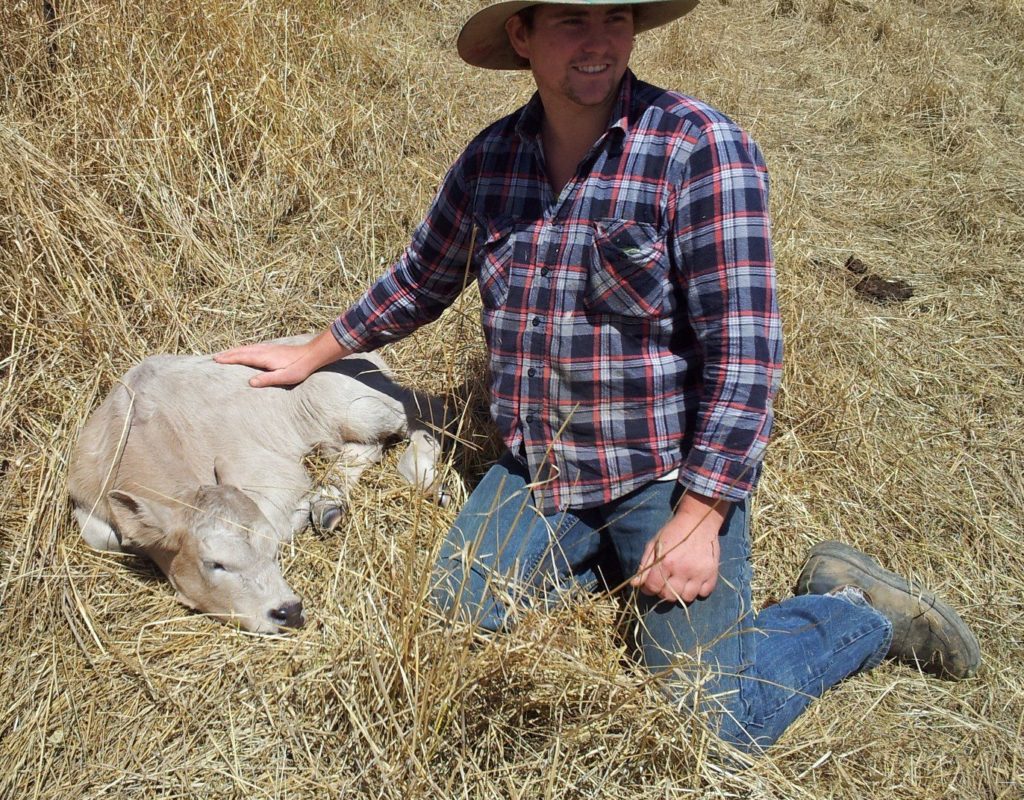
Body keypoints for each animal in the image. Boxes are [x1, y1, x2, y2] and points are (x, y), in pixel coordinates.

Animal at [68, 335, 450, 634]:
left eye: (272, 551)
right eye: (215, 564)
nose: (289, 611)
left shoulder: (272, 474)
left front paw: (299, 514)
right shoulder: (86, 502)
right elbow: (100, 537)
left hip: (358, 407)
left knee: (428, 410)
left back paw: (424, 476)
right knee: (365, 449)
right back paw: (328, 505)